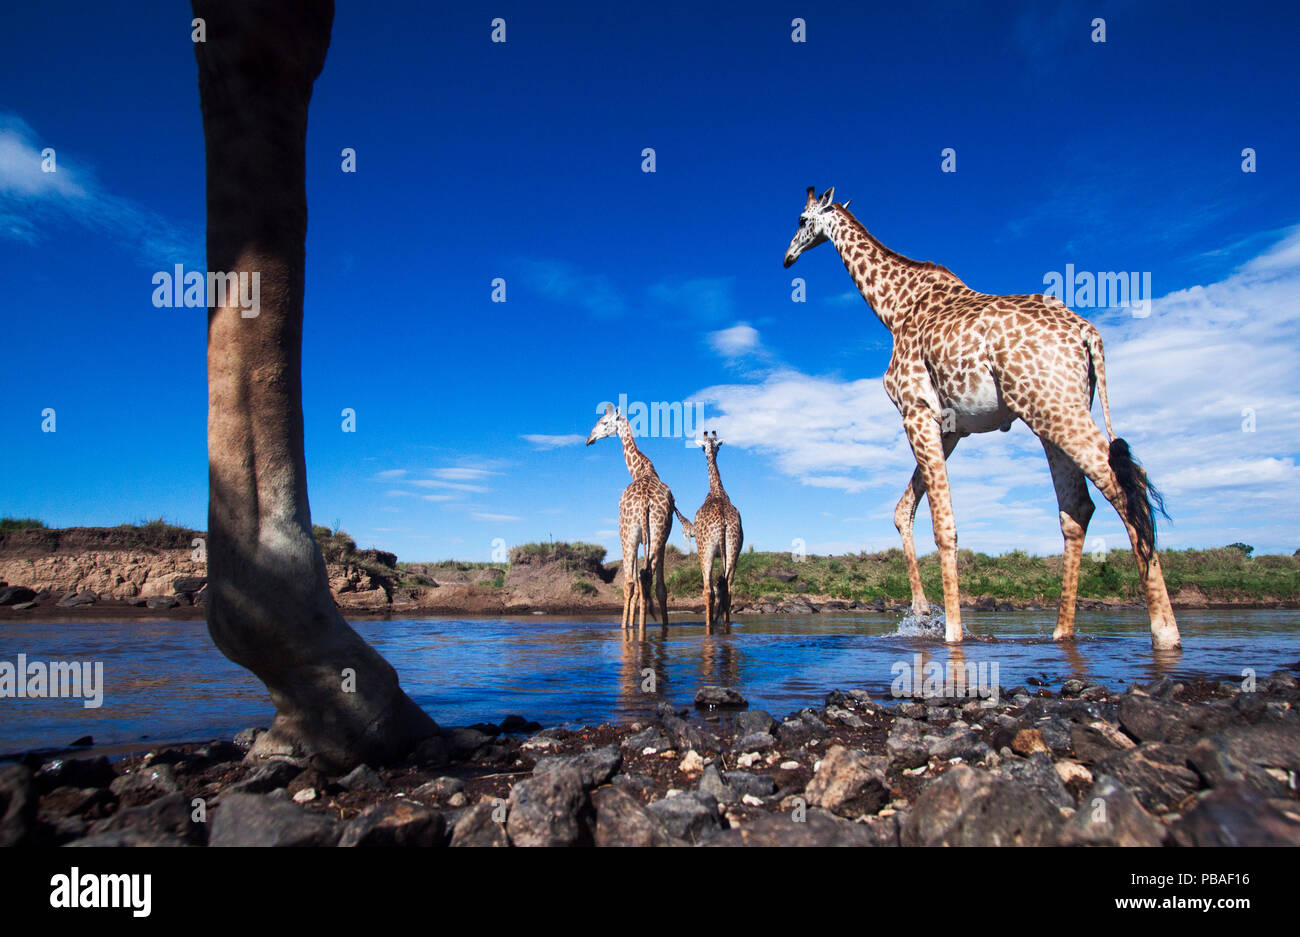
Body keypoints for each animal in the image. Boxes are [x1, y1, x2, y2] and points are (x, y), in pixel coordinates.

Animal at [585, 402, 676, 628]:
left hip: (627, 536)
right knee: (647, 579)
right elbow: (659, 587)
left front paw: (629, 622)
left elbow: (633, 583)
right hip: (656, 535)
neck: (642, 469)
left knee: (630, 582)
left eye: (603, 422)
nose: (589, 439)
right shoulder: (658, 540)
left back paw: (625, 626)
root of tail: (645, 501)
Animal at [681, 434, 743, 636]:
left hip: (705, 551)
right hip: (733, 550)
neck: (717, 490)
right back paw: (725, 624)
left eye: (702, 448)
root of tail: (723, 521)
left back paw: (709, 625)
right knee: (728, 589)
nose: (708, 451)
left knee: (708, 590)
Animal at [785, 185, 1185, 647]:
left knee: (1122, 484)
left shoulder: (916, 411)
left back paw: (1165, 631)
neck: (893, 308)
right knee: (1077, 508)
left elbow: (943, 524)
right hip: (1051, 414)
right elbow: (904, 510)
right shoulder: (951, 428)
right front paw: (922, 612)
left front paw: (952, 632)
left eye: (800, 220)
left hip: (1052, 406)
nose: (788, 257)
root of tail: (1089, 335)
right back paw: (1061, 631)